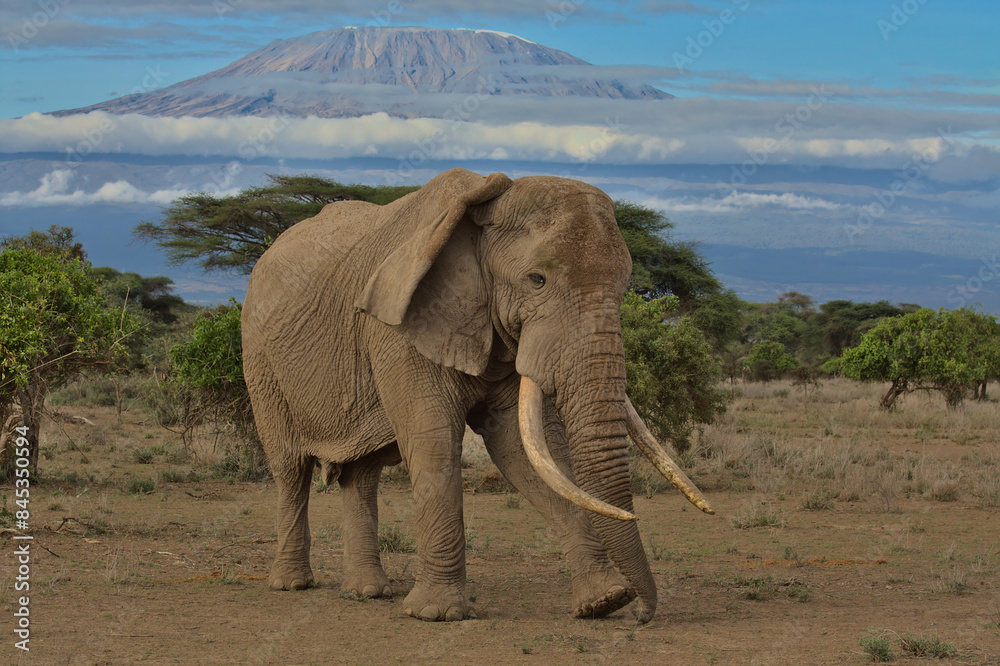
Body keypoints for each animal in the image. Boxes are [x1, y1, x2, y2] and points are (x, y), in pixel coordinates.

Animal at [241, 168, 713, 623]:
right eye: (536, 280)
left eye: (624, 284)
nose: (643, 616)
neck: (484, 206)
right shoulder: (400, 330)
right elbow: (433, 441)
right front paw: (439, 615)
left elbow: (525, 448)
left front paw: (604, 602)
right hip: (260, 358)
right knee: (290, 468)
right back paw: (291, 584)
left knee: (362, 474)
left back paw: (367, 593)